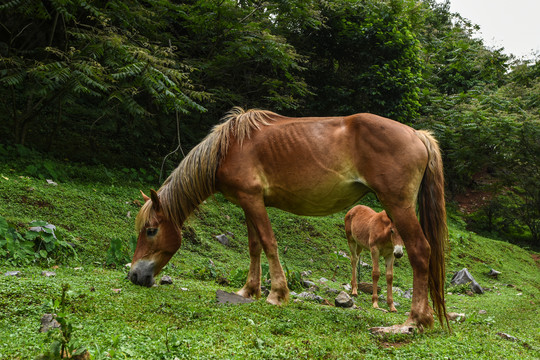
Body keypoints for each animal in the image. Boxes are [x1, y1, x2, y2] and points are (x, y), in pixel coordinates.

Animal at [129, 107, 450, 330]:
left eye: (150, 230)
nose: (134, 276)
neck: (229, 147)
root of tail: (417, 134)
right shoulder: (248, 202)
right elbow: (254, 247)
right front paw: (249, 291)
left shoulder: (252, 200)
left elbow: (269, 243)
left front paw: (277, 294)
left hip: (399, 206)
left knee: (420, 251)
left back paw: (416, 319)